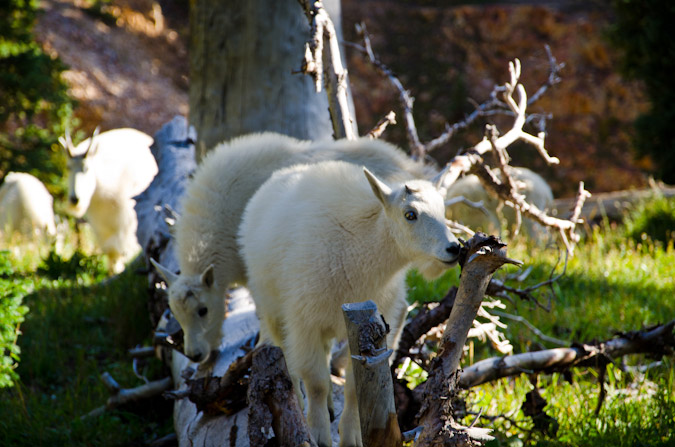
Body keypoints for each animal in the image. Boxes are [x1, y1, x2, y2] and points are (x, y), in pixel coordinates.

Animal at [59, 126, 157, 272]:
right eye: (68, 167)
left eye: (86, 168)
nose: (74, 199)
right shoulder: (100, 225)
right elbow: (110, 252)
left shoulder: (127, 224)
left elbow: (119, 250)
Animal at [152, 132, 428, 364]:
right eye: (175, 313)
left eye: (203, 310)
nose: (195, 355)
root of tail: (414, 168)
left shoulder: (256, 273)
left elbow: (263, 313)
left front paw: (263, 346)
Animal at [240, 161, 462, 447]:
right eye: (410, 214)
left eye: (443, 209)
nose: (454, 248)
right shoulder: (304, 320)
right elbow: (316, 382)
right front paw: (319, 435)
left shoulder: (381, 323)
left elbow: (355, 387)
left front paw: (352, 436)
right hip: (270, 306)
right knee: (284, 354)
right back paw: (297, 403)